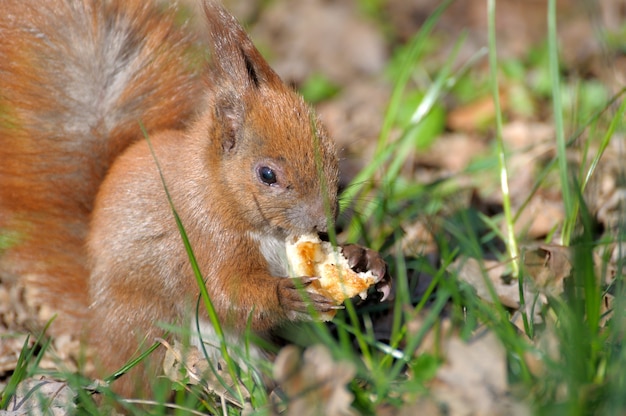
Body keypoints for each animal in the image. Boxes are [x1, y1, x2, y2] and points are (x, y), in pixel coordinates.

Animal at [0, 0, 390, 396]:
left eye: (332, 153)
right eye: (267, 175)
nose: (324, 221)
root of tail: (97, 328)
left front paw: (363, 259)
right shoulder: (204, 238)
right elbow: (224, 295)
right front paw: (288, 294)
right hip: (142, 327)